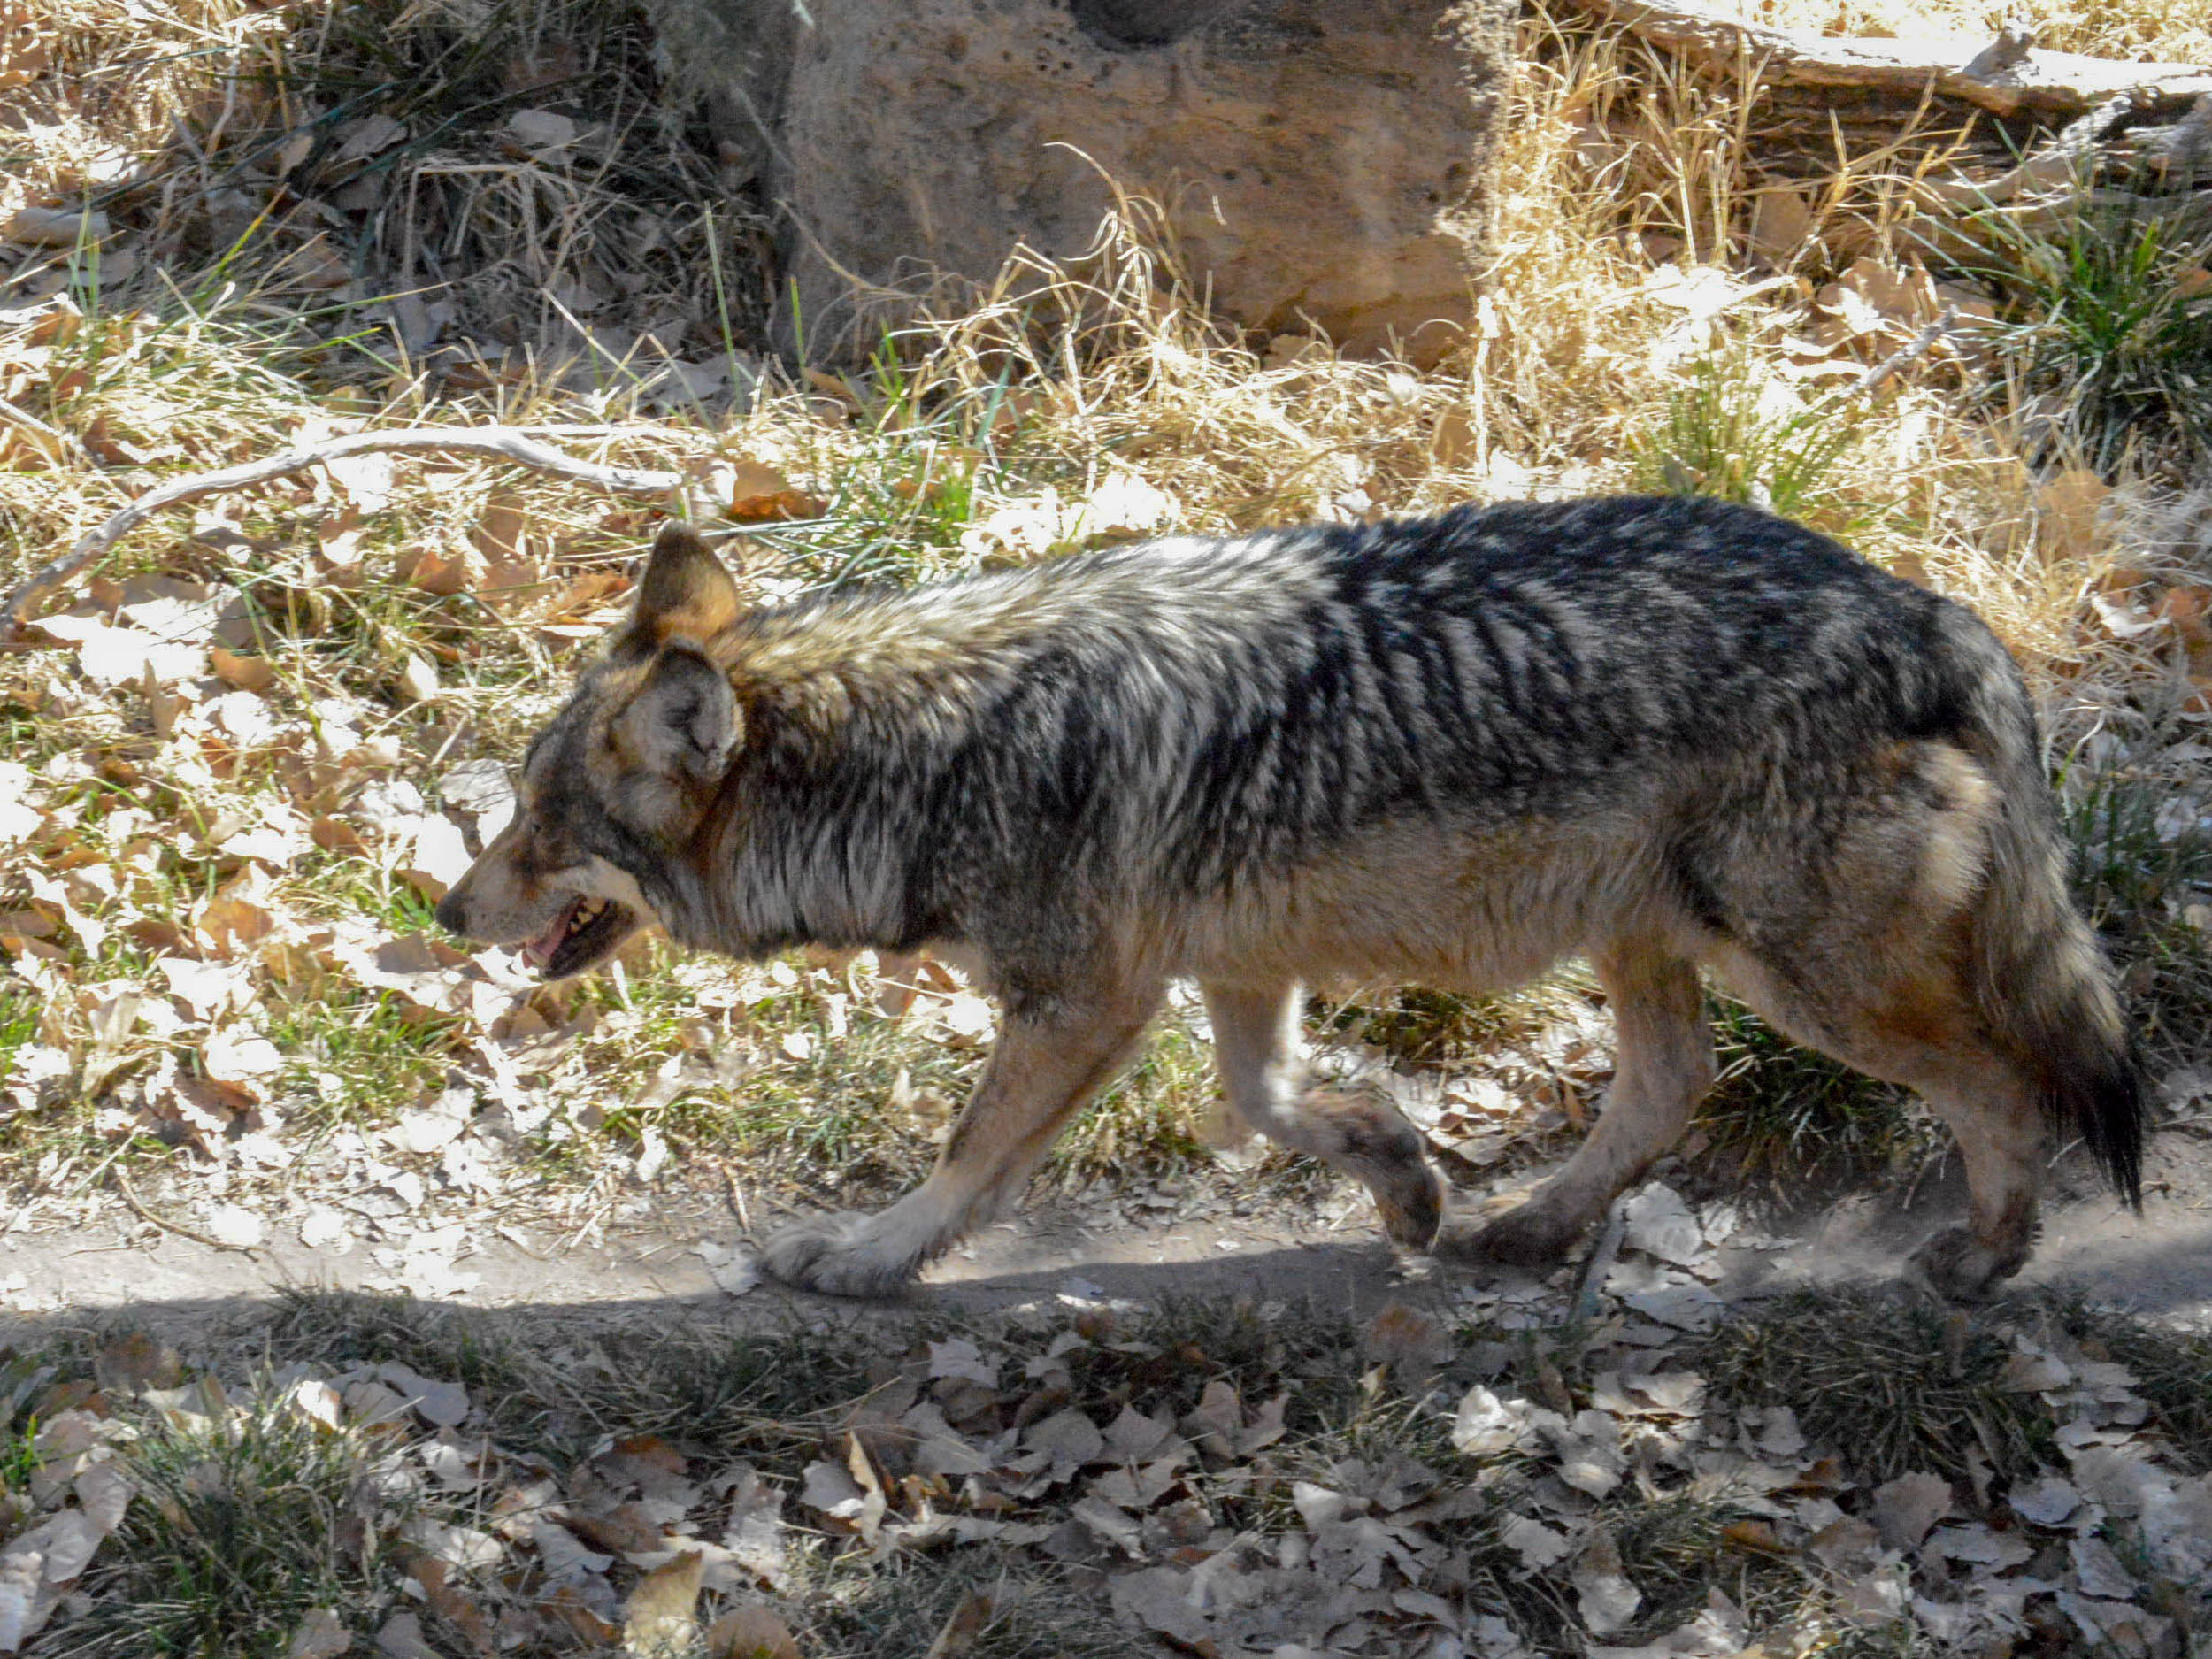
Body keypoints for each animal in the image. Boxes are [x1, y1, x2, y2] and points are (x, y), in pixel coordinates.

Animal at [434, 496, 2144, 1300]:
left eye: (536, 825)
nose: (446, 916)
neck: (935, 746)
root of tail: (1925, 607)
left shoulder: (1086, 1001)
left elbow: (968, 1157)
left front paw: (862, 1259)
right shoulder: (1229, 973)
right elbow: (1267, 1106)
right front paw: (1401, 1177)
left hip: (1805, 976)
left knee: (2006, 1089)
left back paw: (1986, 1259)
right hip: (1648, 941)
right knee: (1674, 1087)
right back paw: (1527, 1228)